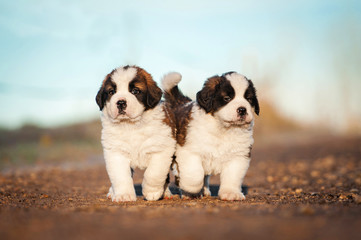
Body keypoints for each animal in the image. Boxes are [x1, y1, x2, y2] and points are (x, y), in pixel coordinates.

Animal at [95, 64, 175, 202]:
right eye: (111, 92)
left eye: (135, 91)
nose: (121, 102)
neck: (131, 126)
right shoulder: (116, 152)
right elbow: (120, 176)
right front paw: (124, 195)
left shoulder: (161, 149)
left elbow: (154, 173)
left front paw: (152, 192)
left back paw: (165, 193)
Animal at [161, 71, 258, 201]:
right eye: (227, 98)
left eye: (249, 99)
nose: (242, 110)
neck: (223, 129)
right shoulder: (189, 151)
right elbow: (194, 173)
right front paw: (190, 189)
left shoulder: (239, 155)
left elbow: (233, 176)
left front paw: (231, 193)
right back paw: (168, 193)